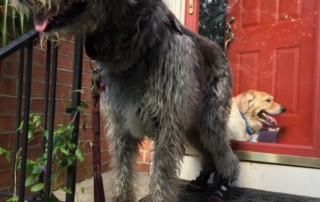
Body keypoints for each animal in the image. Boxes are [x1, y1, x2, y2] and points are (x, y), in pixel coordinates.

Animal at [11, 0, 238, 200]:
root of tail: (220, 49)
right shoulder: (121, 127)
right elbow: (122, 173)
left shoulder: (167, 128)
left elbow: (161, 179)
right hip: (192, 126)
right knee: (207, 151)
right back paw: (202, 178)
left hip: (209, 121)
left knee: (226, 154)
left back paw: (223, 184)